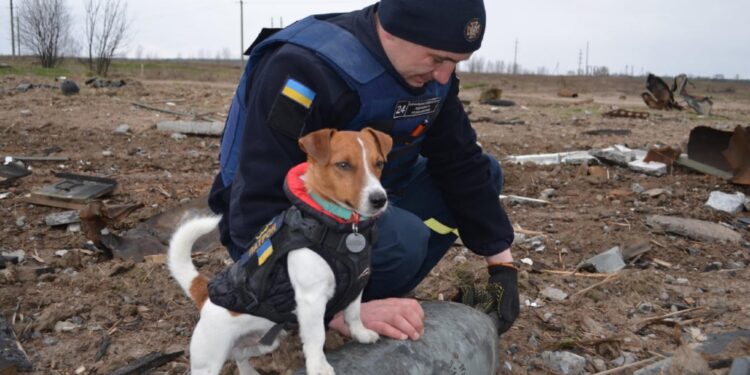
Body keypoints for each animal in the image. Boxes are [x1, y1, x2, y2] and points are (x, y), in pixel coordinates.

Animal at [169, 128, 394, 374]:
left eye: (379, 163)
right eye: (343, 165)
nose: (379, 199)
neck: (344, 229)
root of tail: (205, 295)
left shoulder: (357, 284)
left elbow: (353, 313)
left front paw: (360, 334)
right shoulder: (311, 299)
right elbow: (317, 336)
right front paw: (318, 365)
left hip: (266, 342)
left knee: (241, 355)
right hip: (209, 358)